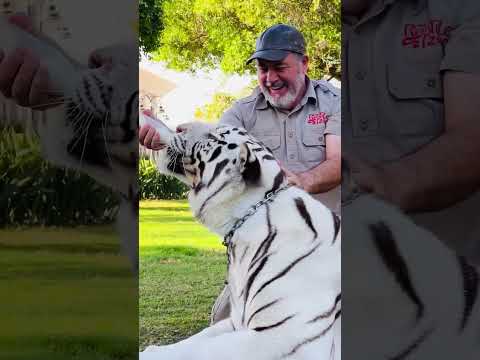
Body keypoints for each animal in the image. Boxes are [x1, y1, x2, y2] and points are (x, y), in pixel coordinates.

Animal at [139, 122, 342, 358]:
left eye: (214, 137)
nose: (179, 127)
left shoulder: (281, 335)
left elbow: (206, 349)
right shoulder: (235, 321)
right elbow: (196, 340)